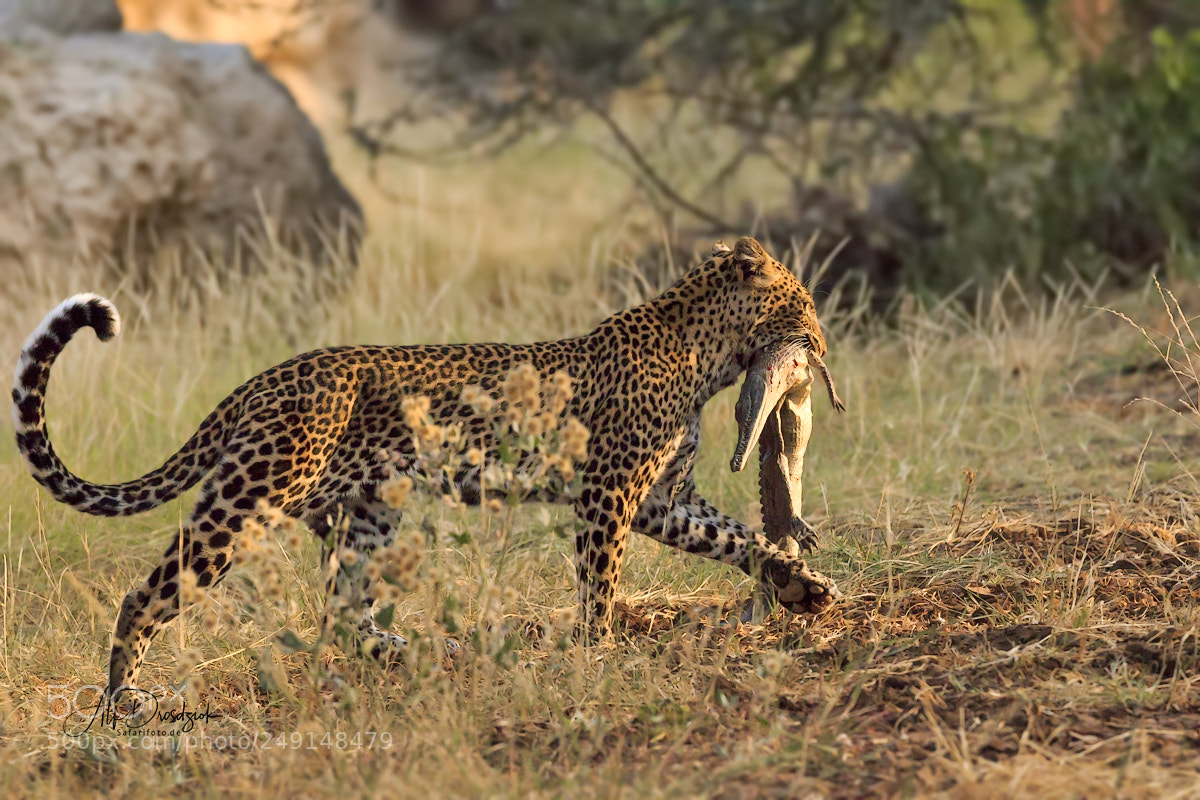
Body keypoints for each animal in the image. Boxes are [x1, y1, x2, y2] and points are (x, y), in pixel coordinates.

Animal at [11, 235, 842, 701]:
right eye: (805, 305)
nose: (826, 351)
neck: (708, 354)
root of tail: (262, 380)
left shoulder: (664, 499)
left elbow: (739, 537)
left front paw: (802, 585)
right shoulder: (609, 495)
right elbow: (601, 584)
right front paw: (600, 654)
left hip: (370, 509)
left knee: (344, 611)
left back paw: (414, 652)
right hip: (253, 496)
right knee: (145, 594)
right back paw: (122, 702)